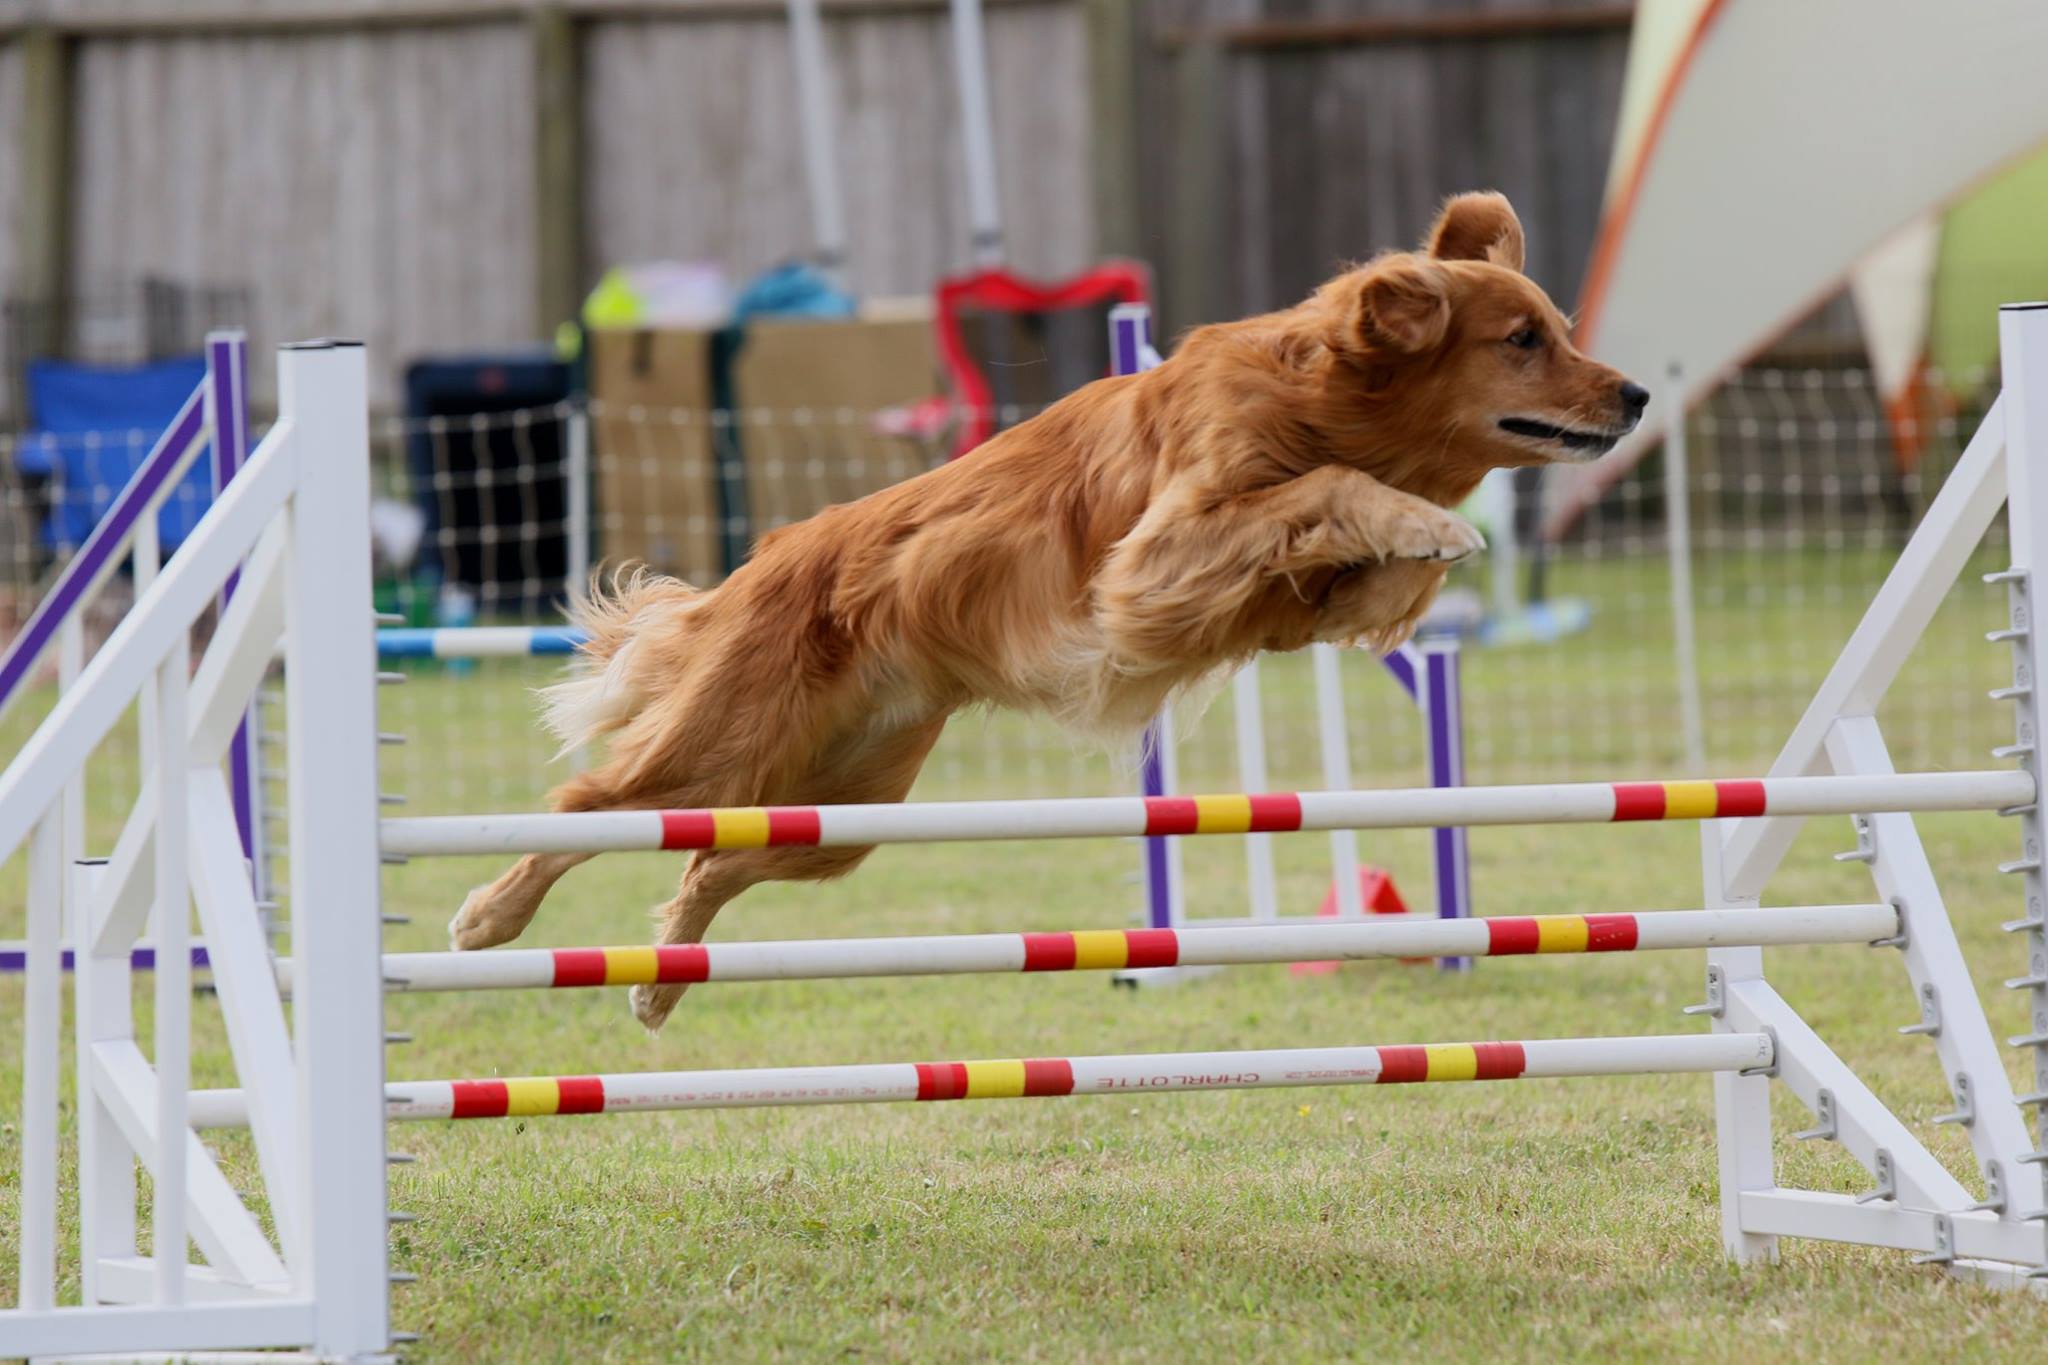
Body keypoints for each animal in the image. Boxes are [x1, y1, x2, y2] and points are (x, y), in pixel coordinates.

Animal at [452, 189, 1646, 1023]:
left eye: (1558, 328)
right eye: (1522, 341)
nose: (1634, 394)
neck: (1330, 398)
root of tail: (762, 566)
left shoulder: (1267, 608)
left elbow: (1362, 563)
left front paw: (1420, 545)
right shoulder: (1153, 563)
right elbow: (1324, 491)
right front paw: (1426, 521)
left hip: (843, 811)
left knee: (708, 861)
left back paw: (658, 983)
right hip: (723, 750)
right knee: (585, 807)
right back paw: (489, 917)